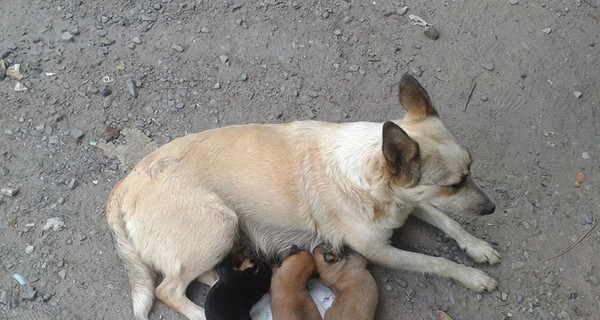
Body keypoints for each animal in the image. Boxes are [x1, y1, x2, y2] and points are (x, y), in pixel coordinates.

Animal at [106, 73, 502, 320]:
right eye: (454, 184)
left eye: (471, 170)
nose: (491, 208)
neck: (370, 173)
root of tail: (125, 184)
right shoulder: (380, 250)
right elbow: (436, 262)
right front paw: (471, 276)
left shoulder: (411, 203)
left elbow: (448, 221)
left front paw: (478, 247)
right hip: (220, 224)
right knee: (168, 290)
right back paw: (204, 311)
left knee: (201, 277)